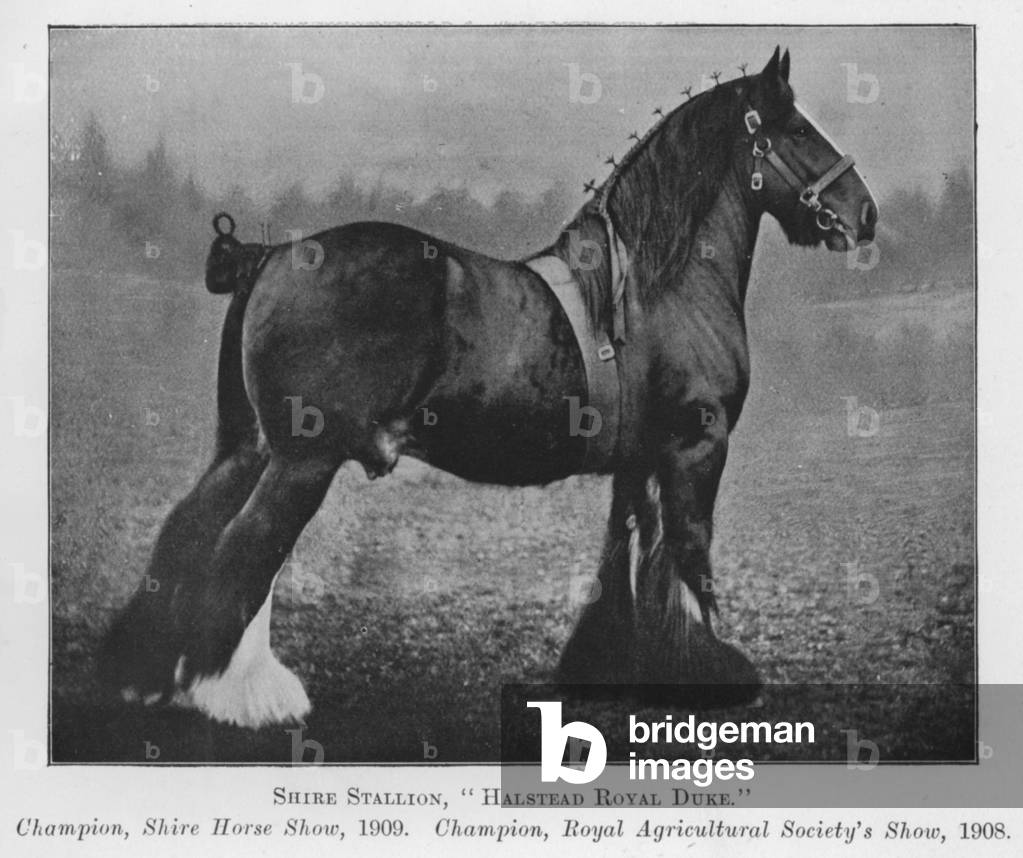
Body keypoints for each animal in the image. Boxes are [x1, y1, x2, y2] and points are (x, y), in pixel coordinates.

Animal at [100, 48, 878, 728]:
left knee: (191, 528)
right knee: (242, 549)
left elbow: (626, 556)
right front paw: (711, 674)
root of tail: (271, 254)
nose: (863, 212)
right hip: (302, 460)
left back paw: (147, 674)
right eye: (798, 130)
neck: (655, 286)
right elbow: (688, 558)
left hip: (252, 447)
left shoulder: (638, 460)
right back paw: (235, 695)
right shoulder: (696, 448)